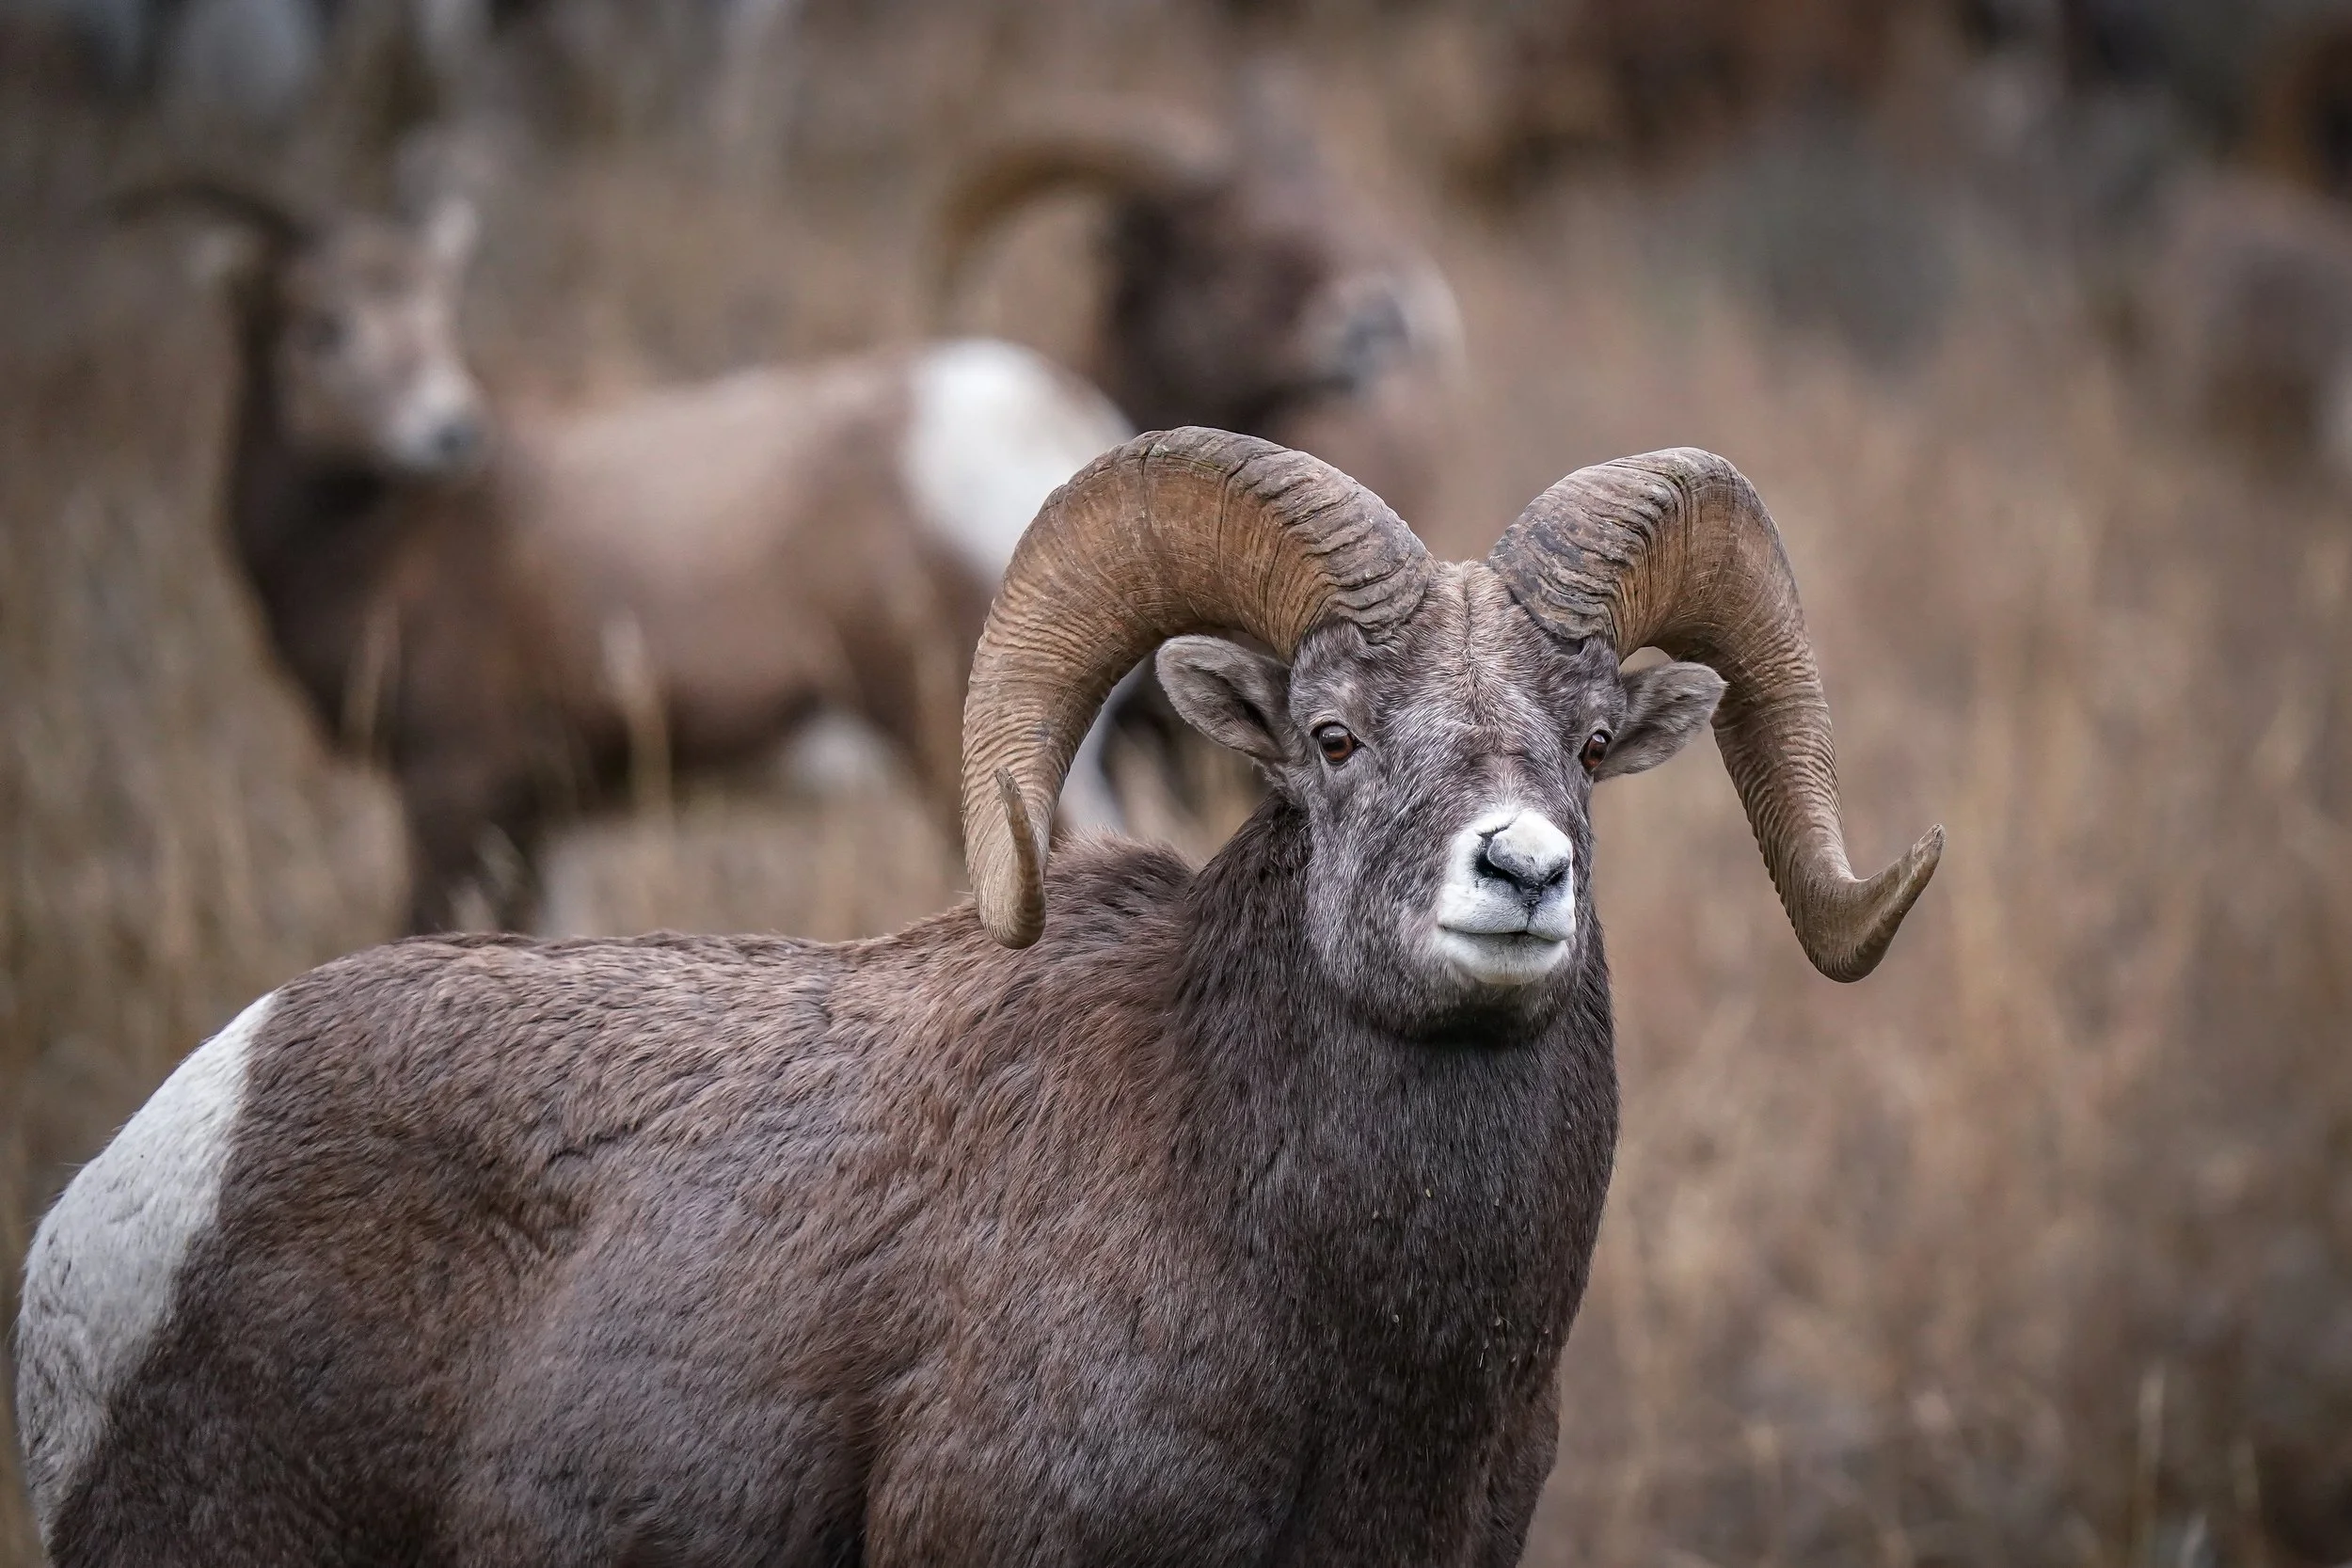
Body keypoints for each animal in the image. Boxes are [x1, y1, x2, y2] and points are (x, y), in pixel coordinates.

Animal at [118, 178, 1135, 933]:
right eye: (321, 326)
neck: (396, 536)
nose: (450, 432)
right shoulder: (546, 821)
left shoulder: (450, 793)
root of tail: (1049, 419)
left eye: (436, 315)